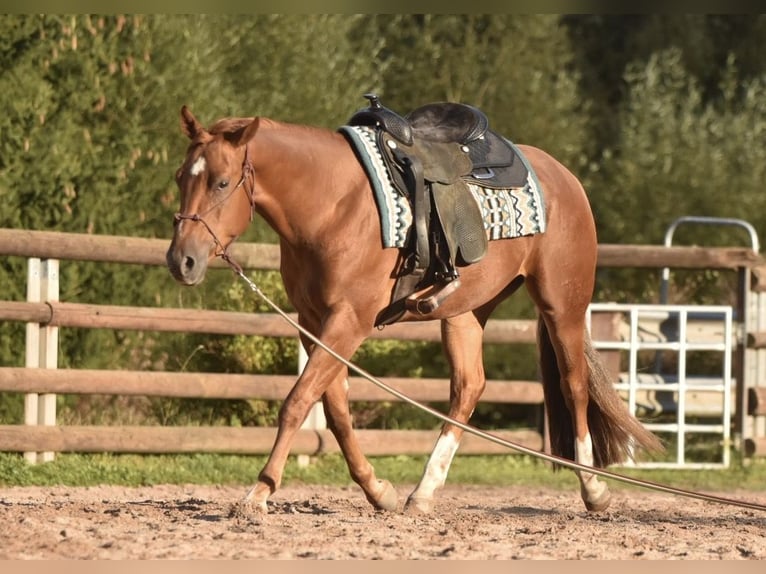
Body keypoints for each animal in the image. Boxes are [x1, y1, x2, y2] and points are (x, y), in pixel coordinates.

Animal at [168, 104, 664, 516]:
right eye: (180, 178)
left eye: (222, 182)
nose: (181, 260)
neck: (331, 204)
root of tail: (564, 177)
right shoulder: (315, 323)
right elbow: (336, 410)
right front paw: (378, 491)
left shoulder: (347, 322)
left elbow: (298, 401)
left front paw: (259, 492)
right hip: (466, 313)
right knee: (468, 389)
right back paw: (423, 492)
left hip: (563, 304)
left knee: (574, 385)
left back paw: (593, 489)